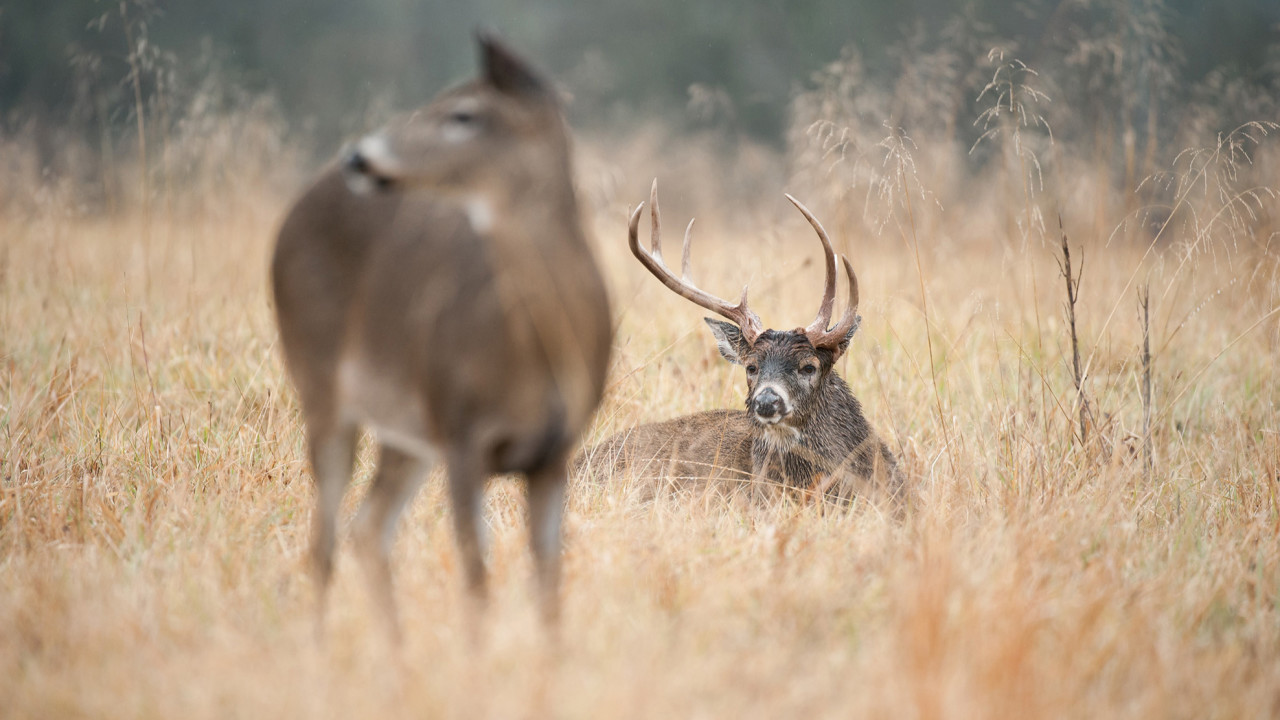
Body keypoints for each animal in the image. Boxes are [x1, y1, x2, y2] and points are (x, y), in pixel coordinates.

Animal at [268, 35, 609, 638]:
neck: (536, 351)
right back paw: (320, 647)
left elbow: (549, 588)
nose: (359, 156)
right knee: (324, 541)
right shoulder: (462, 431)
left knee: (367, 529)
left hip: (407, 429)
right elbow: (477, 578)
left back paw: (395, 651)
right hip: (321, 382)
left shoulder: (554, 451)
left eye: (463, 114)